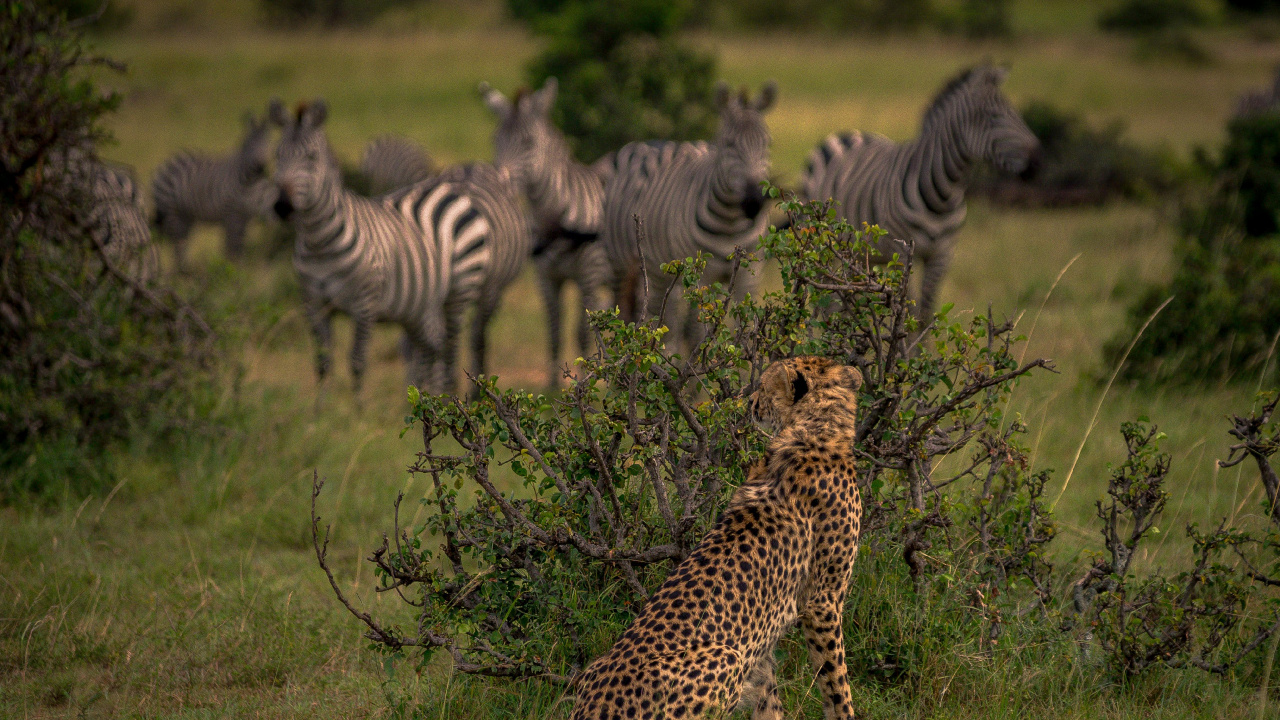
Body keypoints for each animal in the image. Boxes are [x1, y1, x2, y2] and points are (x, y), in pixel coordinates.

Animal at [152, 109, 276, 267]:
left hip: (187, 216)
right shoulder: (230, 215)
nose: (262, 167)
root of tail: (168, 161)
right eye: (251, 144)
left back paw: (185, 269)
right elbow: (232, 246)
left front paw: (240, 267)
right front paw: (231, 267)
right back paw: (183, 270)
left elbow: (240, 245)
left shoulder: (245, 217)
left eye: (269, 142)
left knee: (182, 243)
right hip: (172, 211)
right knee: (178, 244)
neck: (248, 183)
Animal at [269, 98, 531, 399]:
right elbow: (323, 365)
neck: (320, 244)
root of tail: (450, 185)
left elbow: (358, 361)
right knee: (429, 347)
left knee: (450, 347)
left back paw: (447, 393)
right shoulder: (313, 305)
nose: (282, 206)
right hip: (418, 305)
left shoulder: (365, 303)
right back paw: (428, 397)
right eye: (277, 156)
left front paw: (357, 410)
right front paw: (320, 408)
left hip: (461, 290)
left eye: (311, 157)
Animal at [480, 77, 612, 387]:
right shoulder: (546, 278)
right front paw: (553, 384)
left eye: (528, 143)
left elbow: (582, 331)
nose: (499, 182)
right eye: (495, 141)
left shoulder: (589, 275)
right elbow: (554, 329)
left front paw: (587, 379)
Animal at [601, 82, 777, 346]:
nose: (754, 203)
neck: (730, 222)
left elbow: (746, 327)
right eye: (729, 145)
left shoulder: (749, 275)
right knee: (652, 318)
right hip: (630, 267)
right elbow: (696, 333)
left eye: (767, 144)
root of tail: (651, 144)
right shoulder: (700, 276)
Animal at [800, 64, 1039, 323]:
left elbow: (925, 311)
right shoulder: (902, 253)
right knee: (822, 298)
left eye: (1015, 112)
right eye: (992, 117)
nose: (1039, 161)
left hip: (859, 252)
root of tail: (843, 133)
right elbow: (908, 311)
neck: (943, 196)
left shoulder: (942, 255)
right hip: (821, 243)